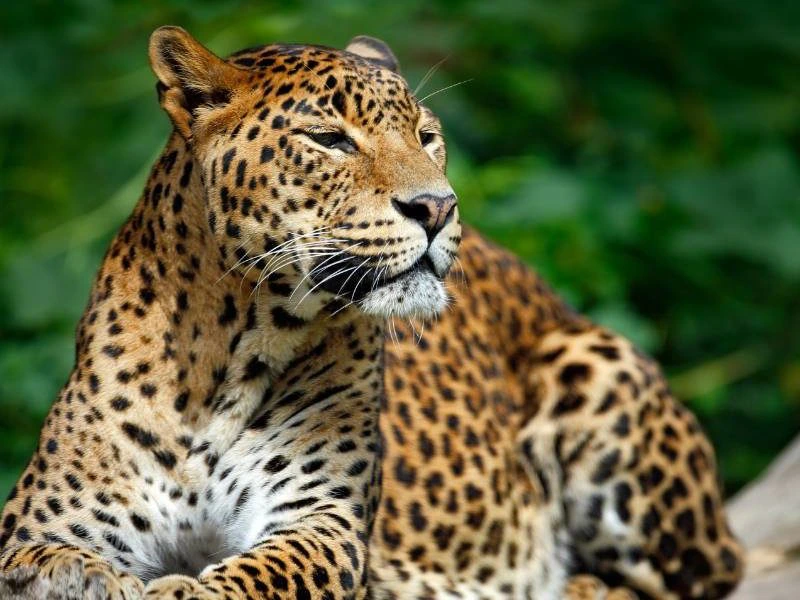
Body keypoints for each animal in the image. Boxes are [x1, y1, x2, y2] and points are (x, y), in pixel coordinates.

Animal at [0, 27, 744, 600]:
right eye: (330, 139)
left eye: (427, 136)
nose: (438, 207)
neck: (224, 351)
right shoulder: (41, 523)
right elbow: (48, 562)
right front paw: (90, 581)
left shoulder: (323, 521)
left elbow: (259, 574)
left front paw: (180, 589)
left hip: (597, 366)